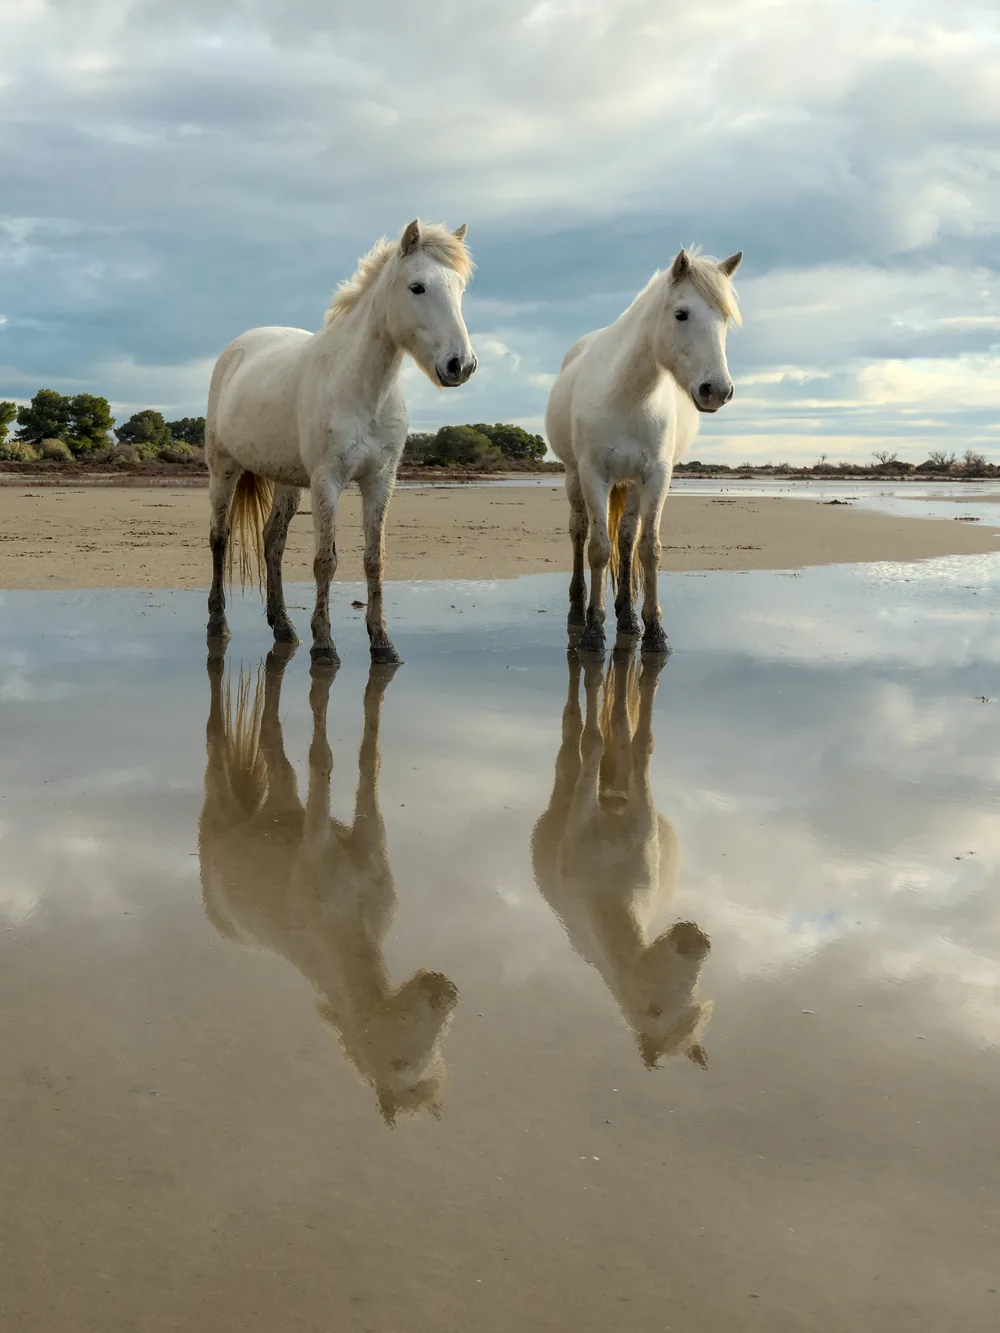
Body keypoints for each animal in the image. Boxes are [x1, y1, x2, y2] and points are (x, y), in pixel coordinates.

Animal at [198, 649, 459, 1126]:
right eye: (398, 1064)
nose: (446, 992)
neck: (346, 922)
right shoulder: (315, 830)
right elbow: (321, 760)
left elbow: (368, 757)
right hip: (219, 793)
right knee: (218, 740)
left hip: (279, 799)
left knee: (274, 748)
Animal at [204, 219, 476, 667]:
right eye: (417, 287)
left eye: (459, 290)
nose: (461, 365)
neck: (363, 387)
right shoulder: (327, 482)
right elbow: (325, 561)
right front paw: (325, 645)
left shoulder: (380, 481)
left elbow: (374, 560)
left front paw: (382, 643)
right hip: (224, 469)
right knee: (219, 538)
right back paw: (217, 623)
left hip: (287, 480)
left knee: (272, 542)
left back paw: (283, 626)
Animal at [531, 646, 713, 1070]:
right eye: (659, 1007)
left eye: (693, 993)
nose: (698, 941)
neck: (609, 886)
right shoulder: (581, 813)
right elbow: (593, 741)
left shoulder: (642, 818)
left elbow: (640, 741)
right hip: (566, 778)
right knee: (577, 730)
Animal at [545, 247, 742, 655]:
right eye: (681, 314)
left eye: (724, 321)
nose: (717, 390)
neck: (629, 394)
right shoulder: (593, 474)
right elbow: (598, 548)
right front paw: (593, 630)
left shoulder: (655, 476)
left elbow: (647, 548)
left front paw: (653, 630)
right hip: (574, 477)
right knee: (579, 532)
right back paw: (578, 609)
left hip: (631, 483)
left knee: (626, 537)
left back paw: (628, 616)